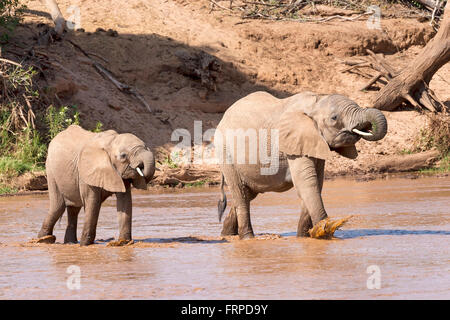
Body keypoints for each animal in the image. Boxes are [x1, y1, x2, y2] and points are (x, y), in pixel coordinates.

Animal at [214, 91, 386, 239]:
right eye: (334, 118)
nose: (368, 127)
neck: (315, 102)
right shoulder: (293, 143)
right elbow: (306, 183)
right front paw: (325, 232)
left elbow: (316, 183)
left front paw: (306, 236)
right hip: (225, 153)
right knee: (240, 194)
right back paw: (247, 238)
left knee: (246, 194)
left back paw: (226, 235)